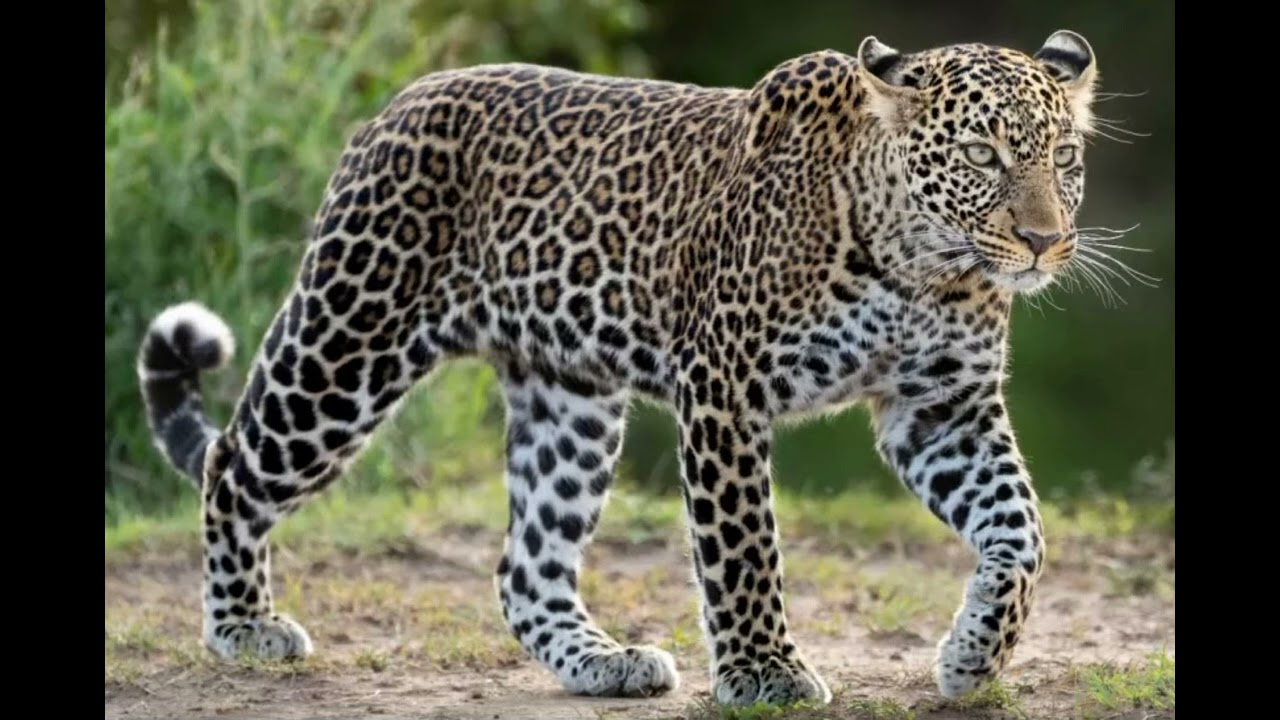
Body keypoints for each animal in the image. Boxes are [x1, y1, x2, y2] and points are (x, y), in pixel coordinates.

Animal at [136, 29, 1104, 706]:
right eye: (980, 156)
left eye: (1062, 157)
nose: (1044, 240)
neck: (923, 264)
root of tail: (394, 105)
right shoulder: (724, 388)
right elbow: (743, 547)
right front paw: (765, 675)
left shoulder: (943, 407)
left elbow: (1022, 531)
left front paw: (975, 656)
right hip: (348, 344)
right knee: (232, 467)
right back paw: (243, 627)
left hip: (570, 399)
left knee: (527, 565)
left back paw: (602, 663)